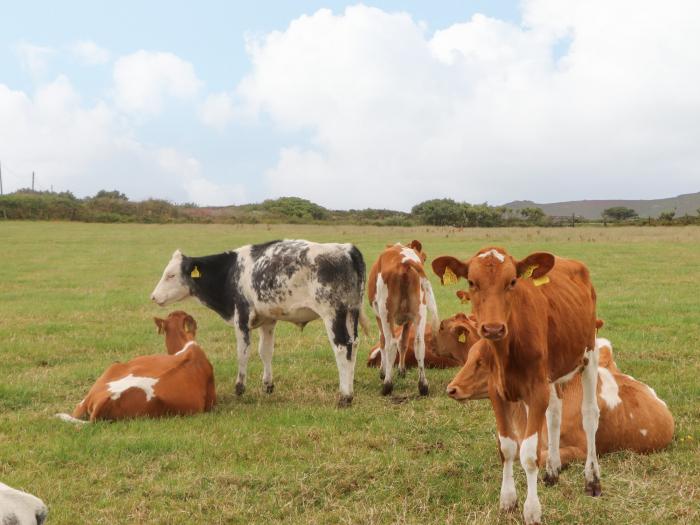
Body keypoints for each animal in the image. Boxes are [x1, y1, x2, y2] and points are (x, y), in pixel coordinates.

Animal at [150, 237, 370, 406]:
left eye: (171, 275)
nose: (153, 297)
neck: (231, 271)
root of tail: (346, 249)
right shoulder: (268, 320)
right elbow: (265, 351)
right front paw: (268, 385)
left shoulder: (241, 317)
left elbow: (243, 353)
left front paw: (239, 387)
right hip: (351, 313)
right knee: (353, 346)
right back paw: (350, 389)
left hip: (333, 314)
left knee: (342, 347)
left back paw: (345, 396)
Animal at [366, 241, 438, 392]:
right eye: (424, 257)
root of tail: (404, 261)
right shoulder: (408, 320)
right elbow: (403, 343)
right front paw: (401, 370)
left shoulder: (379, 317)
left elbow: (383, 342)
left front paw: (383, 372)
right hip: (420, 312)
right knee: (419, 344)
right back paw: (423, 385)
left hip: (386, 313)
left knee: (390, 344)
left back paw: (387, 384)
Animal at [432, 247, 600, 524]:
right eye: (472, 282)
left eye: (512, 281)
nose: (492, 328)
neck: (507, 350)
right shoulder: (496, 392)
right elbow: (507, 447)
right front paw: (508, 500)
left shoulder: (536, 391)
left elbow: (529, 453)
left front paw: (532, 510)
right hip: (553, 374)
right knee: (555, 414)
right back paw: (552, 471)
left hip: (589, 353)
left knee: (589, 416)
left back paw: (592, 479)